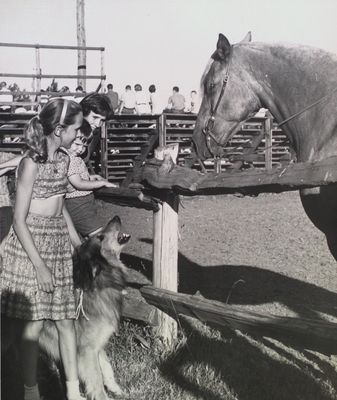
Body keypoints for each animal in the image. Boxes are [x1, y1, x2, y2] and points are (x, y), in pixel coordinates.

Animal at [1, 216, 130, 400]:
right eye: (100, 237)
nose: (116, 217)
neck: (99, 283)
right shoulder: (87, 349)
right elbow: (96, 378)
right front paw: (103, 396)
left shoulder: (95, 344)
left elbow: (106, 366)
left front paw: (116, 389)